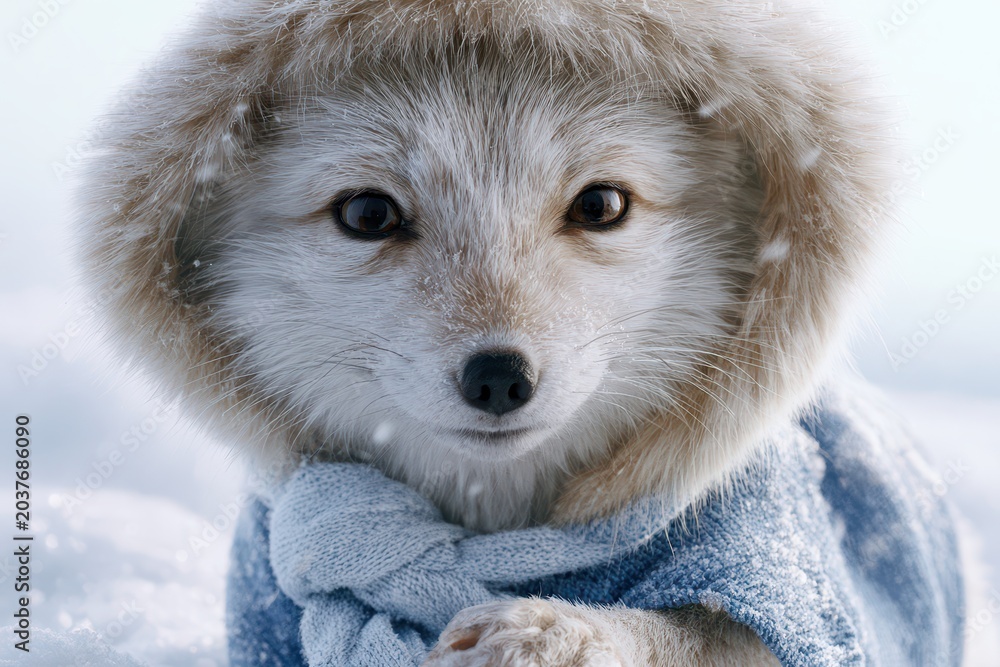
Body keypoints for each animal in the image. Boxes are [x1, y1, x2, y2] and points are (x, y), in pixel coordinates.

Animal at [77, 0, 979, 665]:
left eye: (601, 205)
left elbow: (690, 630)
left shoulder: (776, 566)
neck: (495, 524)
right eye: (368, 214)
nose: (499, 375)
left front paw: (555, 632)